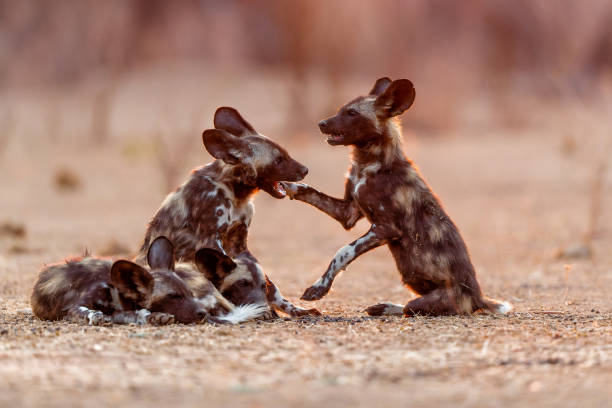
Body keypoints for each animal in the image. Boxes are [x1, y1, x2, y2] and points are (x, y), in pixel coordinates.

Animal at [31, 236, 266, 326]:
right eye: (173, 296)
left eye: (188, 294)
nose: (202, 313)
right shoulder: (73, 308)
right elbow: (92, 313)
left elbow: (133, 313)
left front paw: (154, 317)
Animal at [136, 107, 320, 318]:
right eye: (278, 160)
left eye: (285, 154)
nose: (305, 170)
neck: (236, 194)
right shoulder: (211, 241)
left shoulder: (240, 245)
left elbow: (267, 282)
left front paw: (293, 309)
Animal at [282, 78, 512, 318]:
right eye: (340, 110)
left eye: (352, 113)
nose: (321, 123)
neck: (369, 165)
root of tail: (478, 298)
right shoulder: (348, 213)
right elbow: (310, 191)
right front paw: (288, 185)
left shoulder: (385, 228)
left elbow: (343, 251)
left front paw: (318, 288)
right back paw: (381, 307)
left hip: (435, 300)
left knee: (411, 308)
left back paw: (387, 307)